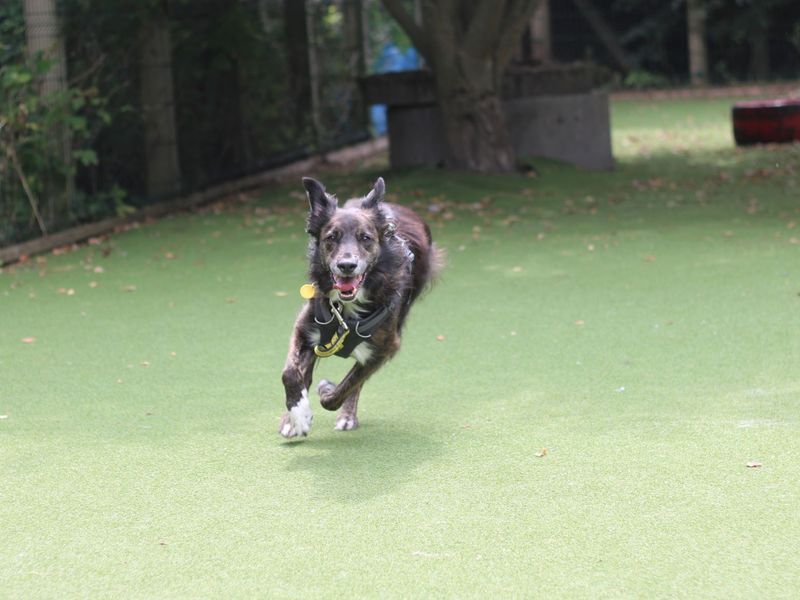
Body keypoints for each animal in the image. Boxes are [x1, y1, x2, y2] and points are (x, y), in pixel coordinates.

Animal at [280, 176, 444, 438]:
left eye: (365, 238)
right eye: (331, 237)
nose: (347, 265)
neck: (346, 310)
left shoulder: (385, 348)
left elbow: (341, 391)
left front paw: (326, 392)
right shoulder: (304, 330)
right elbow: (289, 373)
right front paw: (297, 414)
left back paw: (346, 415)